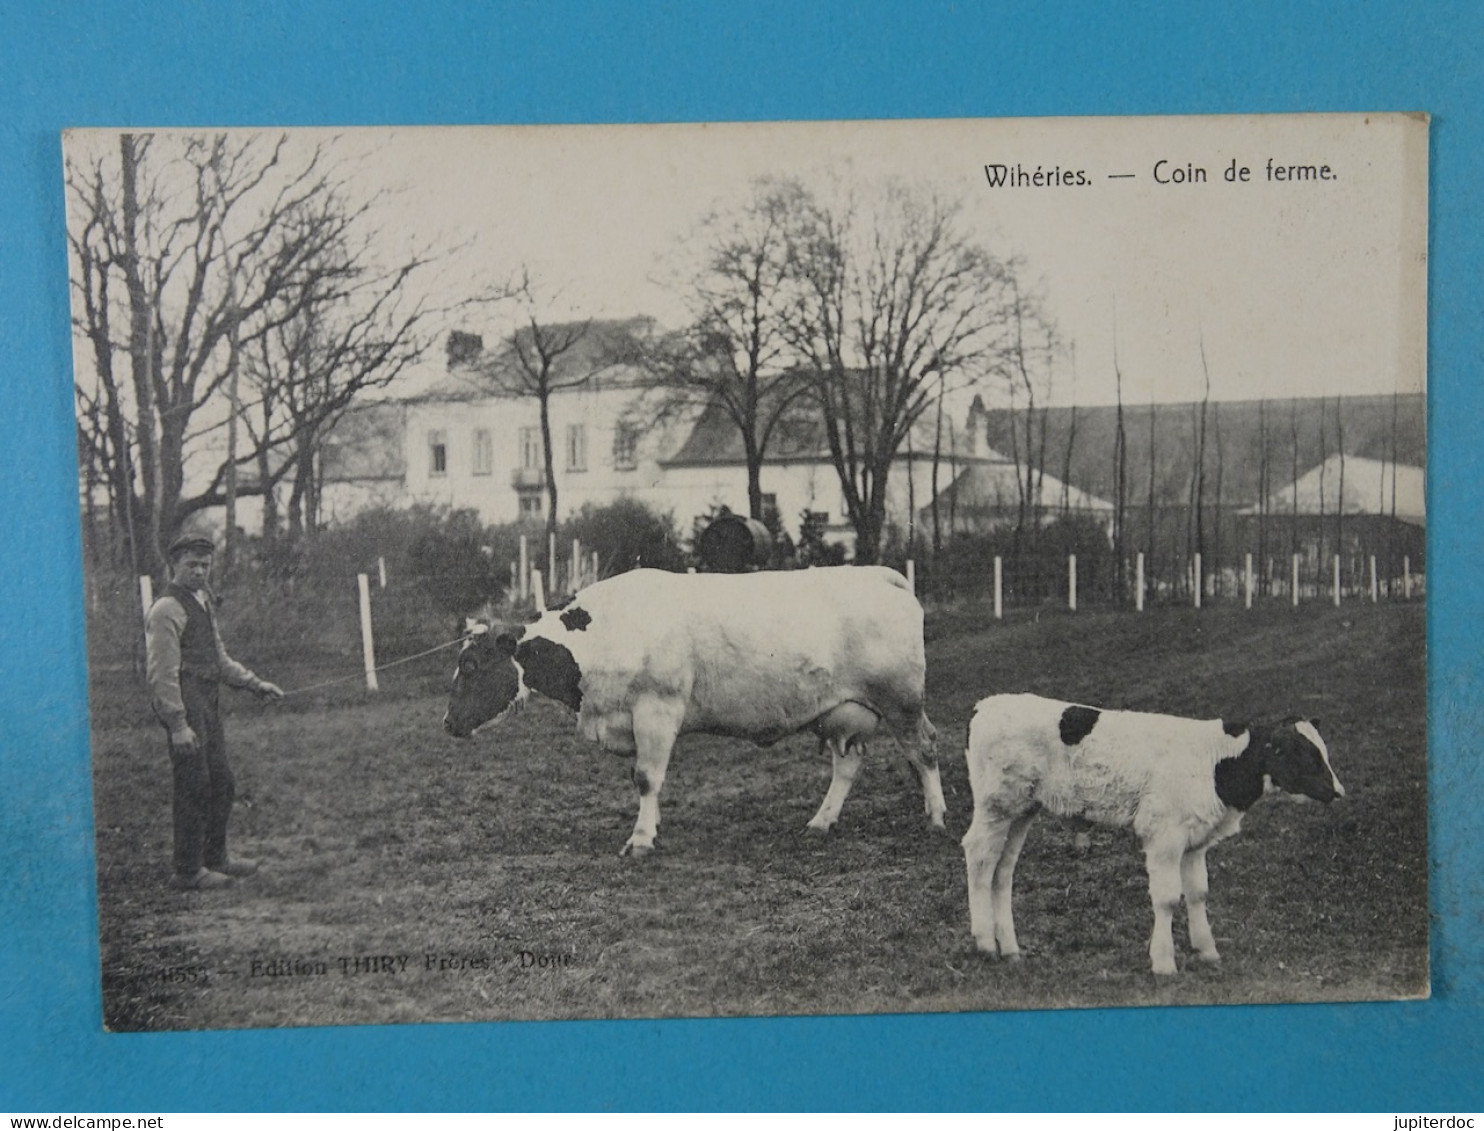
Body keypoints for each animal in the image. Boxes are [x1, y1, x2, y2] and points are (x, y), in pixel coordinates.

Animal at [445, 564, 943, 854]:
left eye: (470, 665)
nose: (448, 723)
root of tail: (879, 574)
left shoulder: (657, 708)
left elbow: (646, 778)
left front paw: (641, 840)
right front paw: (652, 827)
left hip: (901, 699)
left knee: (924, 749)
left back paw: (936, 817)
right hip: (844, 712)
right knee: (848, 765)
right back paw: (821, 822)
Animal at [961, 691, 1347, 973]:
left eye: (1322, 751)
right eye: (1303, 753)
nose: (1339, 791)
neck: (1216, 764)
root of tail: (986, 704)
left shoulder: (1195, 840)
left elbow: (1198, 893)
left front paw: (1207, 950)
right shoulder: (1165, 835)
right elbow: (1167, 898)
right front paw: (1163, 962)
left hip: (1022, 810)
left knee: (1002, 869)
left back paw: (1010, 948)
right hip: (996, 805)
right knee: (979, 856)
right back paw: (985, 942)